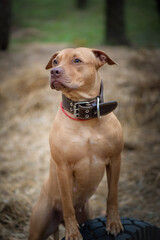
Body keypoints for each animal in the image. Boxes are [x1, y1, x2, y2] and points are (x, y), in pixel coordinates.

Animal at [28, 47, 124, 239]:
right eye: (55, 62)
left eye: (77, 61)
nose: (54, 71)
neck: (85, 116)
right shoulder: (63, 168)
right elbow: (67, 204)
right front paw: (72, 233)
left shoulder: (115, 159)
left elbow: (112, 195)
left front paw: (113, 222)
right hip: (38, 225)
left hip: (87, 213)